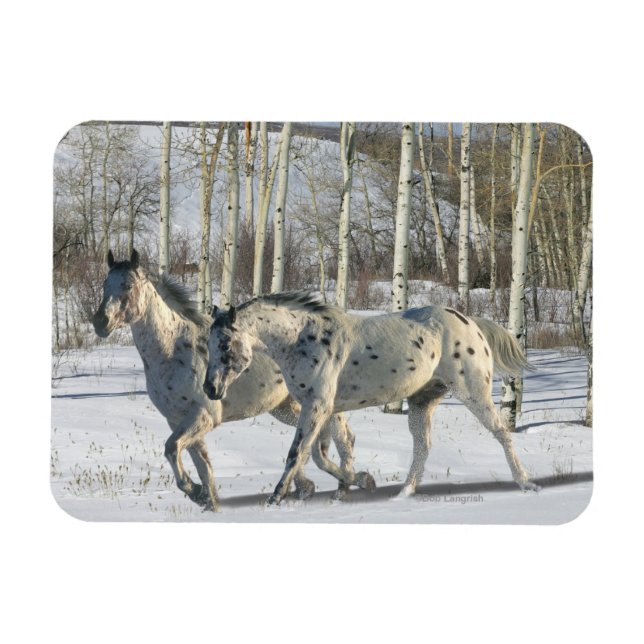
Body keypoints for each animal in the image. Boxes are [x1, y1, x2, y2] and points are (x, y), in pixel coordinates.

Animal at [91, 250, 373, 512]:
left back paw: (350, 486)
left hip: (321, 403)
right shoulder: (178, 419)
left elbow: (172, 449)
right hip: (287, 407)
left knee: (343, 438)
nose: (100, 322)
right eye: (105, 284)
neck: (173, 351)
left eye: (128, 285)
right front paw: (208, 501)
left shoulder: (203, 416)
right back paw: (318, 488)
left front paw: (196, 492)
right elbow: (203, 468)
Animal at [203, 292, 540, 506]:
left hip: (473, 392)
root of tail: (470, 322)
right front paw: (355, 484)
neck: (303, 339)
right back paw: (403, 494)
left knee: (501, 432)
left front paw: (276, 498)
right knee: (423, 446)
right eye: (208, 343)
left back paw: (526, 483)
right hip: (423, 401)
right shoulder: (324, 409)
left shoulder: (317, 407)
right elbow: (323, 454)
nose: (210, 389)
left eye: (225, 345)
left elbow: (298, 453)